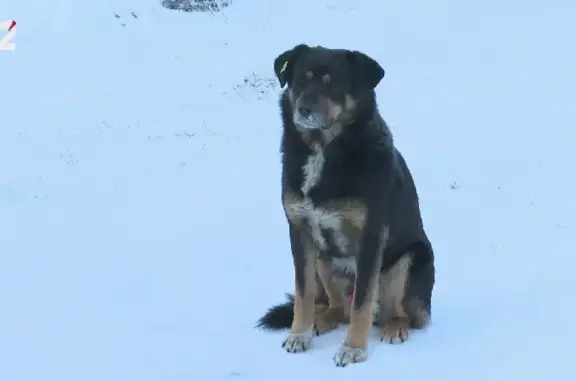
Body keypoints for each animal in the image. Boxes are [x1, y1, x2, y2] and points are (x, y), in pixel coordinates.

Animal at [256, 43, 436, 366]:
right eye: (301, 80)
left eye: (334, 84)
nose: (304, 110)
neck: (324, 149)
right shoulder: (300, 232)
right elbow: (302, 294)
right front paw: (298, 334)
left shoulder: (370, 238)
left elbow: (362, 301)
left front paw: (353, 348)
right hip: (324, 259)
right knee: (338, 306)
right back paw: (324, 319)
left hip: (411, 260)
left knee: (403, 314)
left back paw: (395, 327)